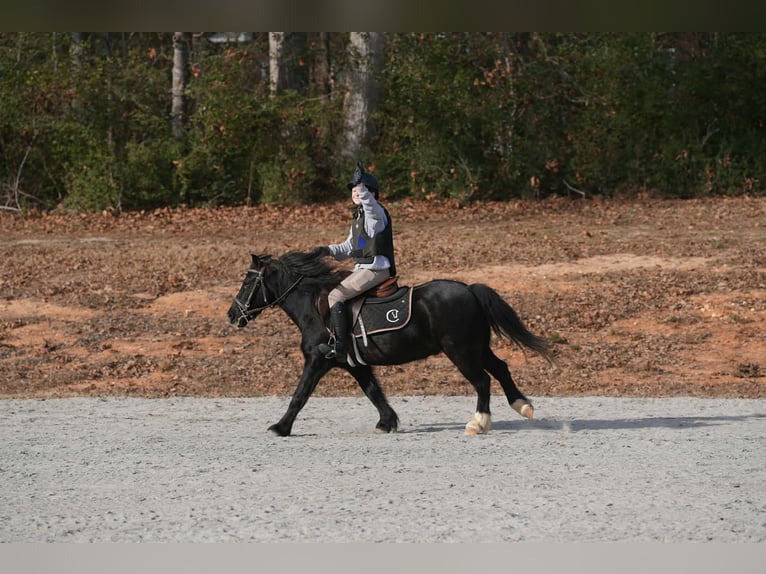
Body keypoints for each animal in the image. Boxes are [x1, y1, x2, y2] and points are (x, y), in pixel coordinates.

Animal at [227, 250, 555, 437]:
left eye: (248, 282)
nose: (232, 315)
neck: (316, 307)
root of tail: (470, 289)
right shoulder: (353, 364)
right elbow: (373, 392)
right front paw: (387, 422)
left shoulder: (318, 360)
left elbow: (300, 395)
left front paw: (280, 428)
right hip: (477, 347)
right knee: (501, 369)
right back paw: (523, 406)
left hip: (460, 351)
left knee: (483, 381)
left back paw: (478, 423)